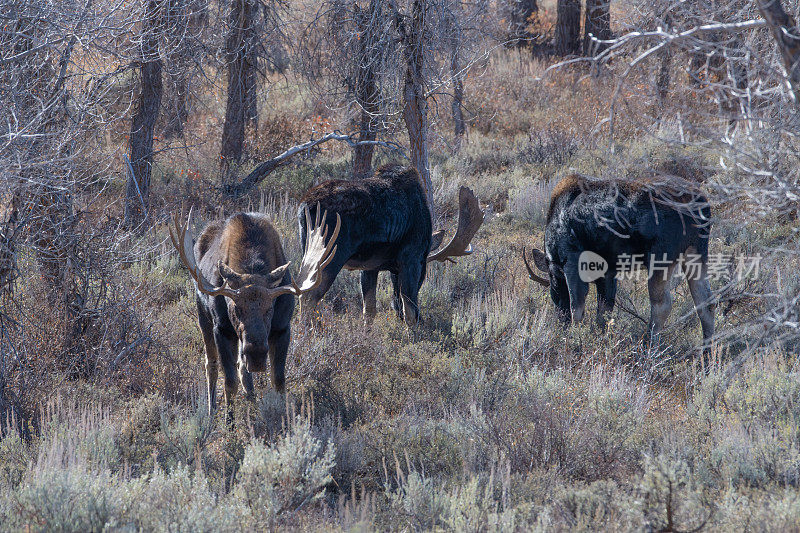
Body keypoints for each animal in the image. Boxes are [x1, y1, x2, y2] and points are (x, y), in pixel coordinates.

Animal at [170, 206, 340, 418]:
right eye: (235, 308)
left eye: (270, 308)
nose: (257, 355)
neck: (251, 267)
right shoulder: (222, 329)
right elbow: (230, 382)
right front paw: (229, 422)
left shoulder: (282, 328)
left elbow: (278, 380)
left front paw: (282, 416)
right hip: (203, 316)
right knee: (212, 364)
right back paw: (211, 411)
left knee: (242, 368)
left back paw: (252, 403)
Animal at [292, 163, 482, 324]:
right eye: (423, 276)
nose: (395, 310)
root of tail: (304, 206)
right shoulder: (411, 258)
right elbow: (409, 310)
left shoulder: (369, 267)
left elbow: (369, 309)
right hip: (332, 254)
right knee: (308, 296)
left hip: (310, 250)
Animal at [520, 172, 716, 352]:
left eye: (554, 287)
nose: (561, 323)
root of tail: (702, 205)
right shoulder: (607, 271)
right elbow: (604, 311)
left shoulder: (572, 260)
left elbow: (577, 307)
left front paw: (575, 340)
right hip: (696, 252)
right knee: (706, 302)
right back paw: (707, 355)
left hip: (660, 256)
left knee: (662, 304)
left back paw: (649, 348)